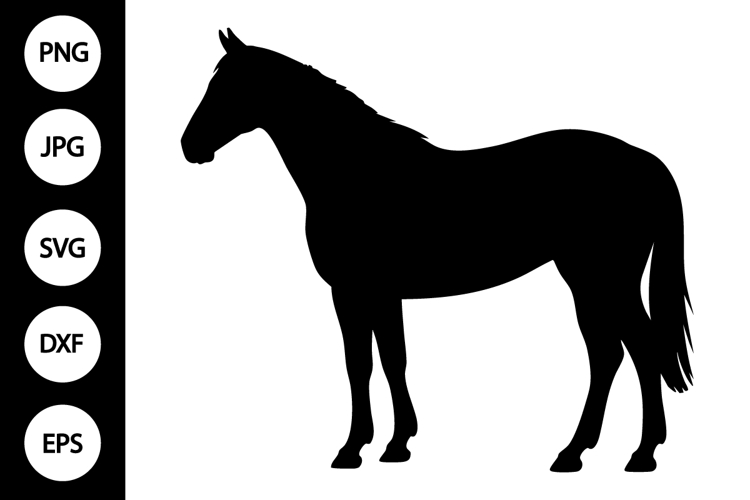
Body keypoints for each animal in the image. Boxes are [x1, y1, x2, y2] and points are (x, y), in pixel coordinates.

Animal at [181, 29, 693, 472]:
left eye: (229, 86)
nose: (189, 146)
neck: (356, 173)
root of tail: (644, 161)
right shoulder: (382, 293)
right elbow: (391, 360)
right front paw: (396, 444)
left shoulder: (350, 291)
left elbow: (359, 364)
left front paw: (352, 449)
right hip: (586, 280)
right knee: (608, 356)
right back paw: (575, 453)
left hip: (603, 279)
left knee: (639, 350)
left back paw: (640, 454)